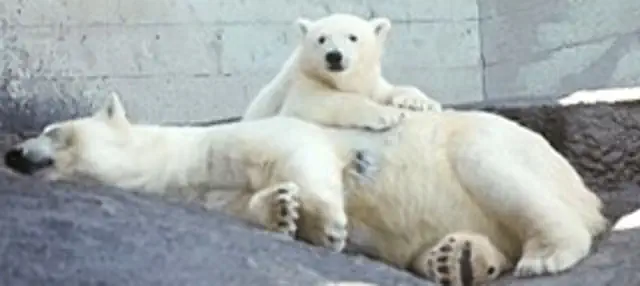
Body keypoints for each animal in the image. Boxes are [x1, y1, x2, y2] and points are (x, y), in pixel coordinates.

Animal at [5, 93, 604, 284]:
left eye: (54, 131)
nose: (14, 153)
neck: (189, 161)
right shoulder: (214, 192)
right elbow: (249, 206)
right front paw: (284, 212)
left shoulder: (243, 137)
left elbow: (303, 150)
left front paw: (329, 224)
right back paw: (452, 258)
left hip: (493, 148)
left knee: (493, 171)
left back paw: (545, 254)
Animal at [242, 12, 442, 130]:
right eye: (321, 39)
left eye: (353, 37)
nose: (334, 56)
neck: (341, 79)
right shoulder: (302, 81)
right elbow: (315, 102)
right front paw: (388, 115)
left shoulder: (370, 82)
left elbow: (390, 90)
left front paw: (420, 103)